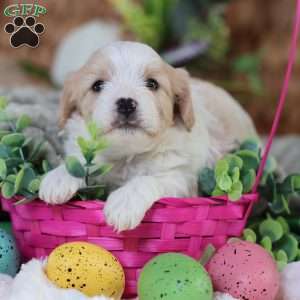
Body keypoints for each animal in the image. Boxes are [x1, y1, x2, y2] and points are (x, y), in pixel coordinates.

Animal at [38, 41, 256, 231]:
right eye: (97, 85)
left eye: (152, 84)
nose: (126, 103)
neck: (127, 156)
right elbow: (82, 163)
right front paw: (59, 177)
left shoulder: (183, 181)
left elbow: (149, 179)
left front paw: (125, 202)